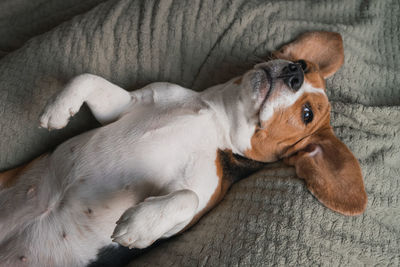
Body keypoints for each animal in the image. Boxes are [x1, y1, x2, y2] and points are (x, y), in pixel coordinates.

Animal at [0, 30, 366, 266]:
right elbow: (87, 78)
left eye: (307, 115)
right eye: (302, 64)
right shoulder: (130, 103)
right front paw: (58, 108)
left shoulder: (195, 201)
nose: (292, 73)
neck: (215, 117)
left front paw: (140, 224)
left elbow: (184, 198)